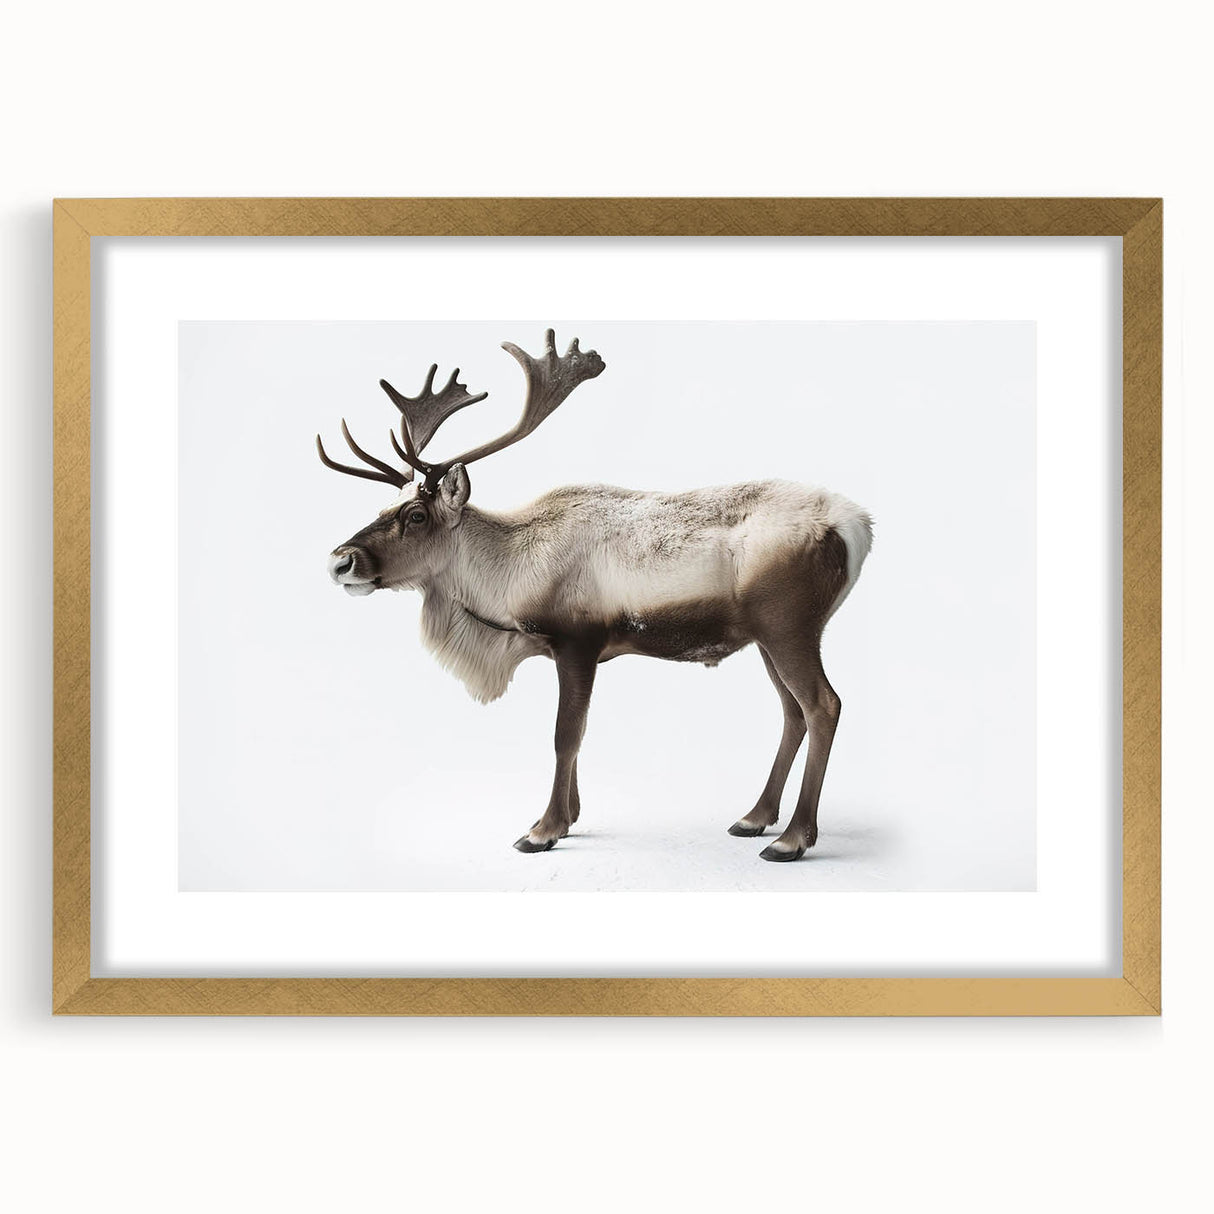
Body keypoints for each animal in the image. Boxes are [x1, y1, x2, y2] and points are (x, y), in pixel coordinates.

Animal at [318, 330, 873, 861]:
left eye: (416, 515)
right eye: (384, 507)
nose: (340, 560)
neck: (508, 575)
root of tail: (858, 526)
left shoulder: (577, 642)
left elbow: (565, 735)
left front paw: (542, 830)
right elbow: (578, 737)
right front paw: (570, 816)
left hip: (789, 626)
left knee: (823, 705)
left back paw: (792, 839)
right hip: (765, 637)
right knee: (792, 712)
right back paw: (755, 817)